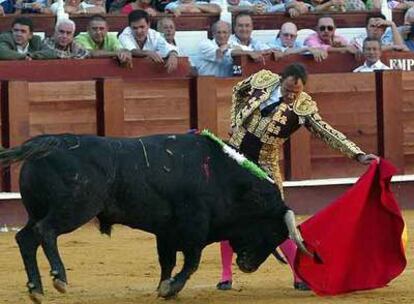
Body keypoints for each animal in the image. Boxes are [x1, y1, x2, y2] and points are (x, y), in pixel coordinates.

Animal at [1, 134, 308, 302]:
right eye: (273, 232)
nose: (249, 266)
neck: (223, 178)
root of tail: (48, 142)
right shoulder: (194, 228)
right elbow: (191, 263)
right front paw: (171, 288)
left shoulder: (166, 232)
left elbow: (167, 261)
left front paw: (163, 287)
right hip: (75, 208)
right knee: (46, 231)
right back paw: (59, 278)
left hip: (37, 210)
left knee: (26, 238)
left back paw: (36, 289)